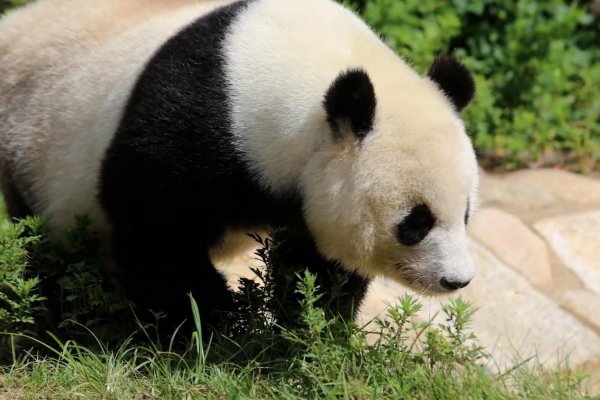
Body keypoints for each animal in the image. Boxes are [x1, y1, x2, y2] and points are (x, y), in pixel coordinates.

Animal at [0, 0, 478, 332]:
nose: (457, 280)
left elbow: (318, 263)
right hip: (28, 144)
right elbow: (156, 232)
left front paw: (315, 325)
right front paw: (218, 323)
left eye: (467, 214)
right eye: (415, 222)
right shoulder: (190, 123)